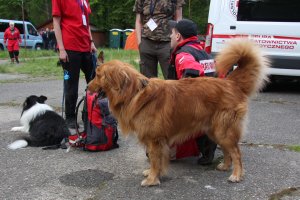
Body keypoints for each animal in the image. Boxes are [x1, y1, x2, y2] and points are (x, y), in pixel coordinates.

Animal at [86, 39, 270, 186]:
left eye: (98, 75)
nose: (87, 87)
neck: (134, 93)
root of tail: (231, 82)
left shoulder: (155, 139)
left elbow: (154, 160)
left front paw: (152, 179)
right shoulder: (156, 140)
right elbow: (156, 160)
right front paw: (153, 174)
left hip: (223, 129)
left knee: (236, 153)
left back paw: (236, 174)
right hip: (214, 130)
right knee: (227, 151)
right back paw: (225, 166)